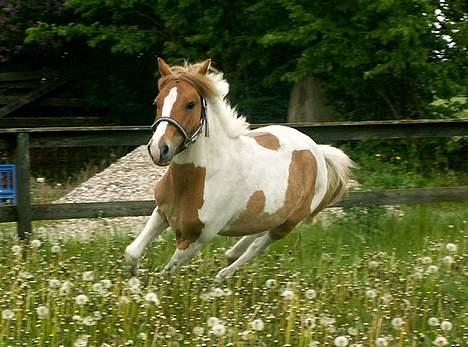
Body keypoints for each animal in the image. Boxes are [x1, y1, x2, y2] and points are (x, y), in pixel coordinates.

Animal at [122, 58, 352, 282]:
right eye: (157, 102)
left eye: (190, 104)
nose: (158, 149)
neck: (198, 179)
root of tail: (318, 152)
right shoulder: (161, 213)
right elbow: (131, 253)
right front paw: (133, 280)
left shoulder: (198, 238)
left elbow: (166, 275)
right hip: (274, 213)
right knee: (257, 233)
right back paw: (230, 255)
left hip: (289, 223)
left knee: (258, 246)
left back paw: (222, 276)